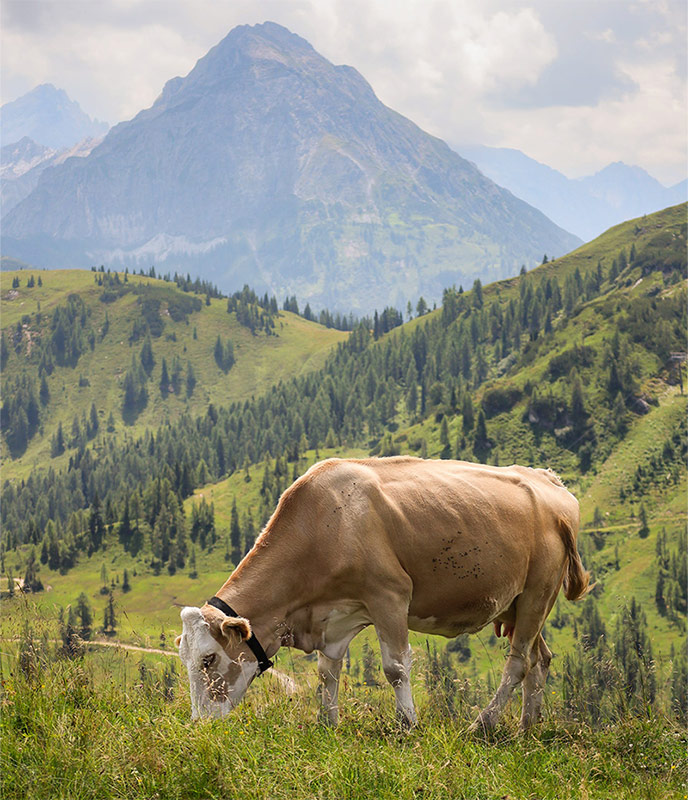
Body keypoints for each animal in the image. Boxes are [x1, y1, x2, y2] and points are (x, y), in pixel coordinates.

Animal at [176, 456, 590, 731]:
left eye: (209, 659)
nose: (199, 724)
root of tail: (549, 481)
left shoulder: (388, 595)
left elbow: (395, 667)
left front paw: (408, 726)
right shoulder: (334, 616)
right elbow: (327, 673)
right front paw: (327, 725)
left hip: (538, 591)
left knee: (518, 662)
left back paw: (482, 726)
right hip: (518, 604)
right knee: (540, 659)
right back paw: (527, 729)